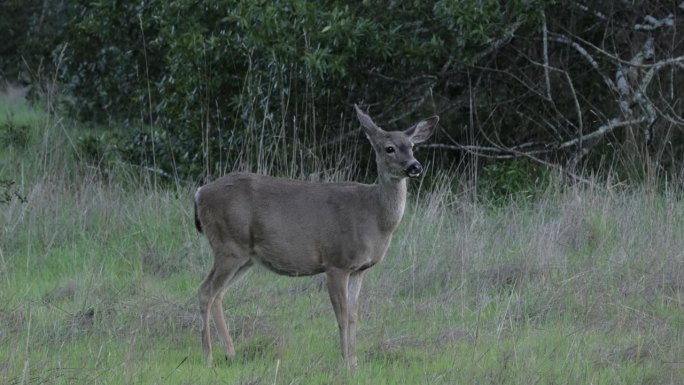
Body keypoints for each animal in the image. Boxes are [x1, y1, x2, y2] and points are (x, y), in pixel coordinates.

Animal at [192, 103, 438, 364]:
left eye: (412, 146)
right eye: (389, 148)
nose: (415, 166)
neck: (374, 215)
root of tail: (199, 193)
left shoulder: (359, 269)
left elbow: (354, 316)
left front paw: (354, 361)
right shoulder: (336, 262)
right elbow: (342, 317)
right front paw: (345, 362)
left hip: (245, 257)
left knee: (218, 294)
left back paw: (230, 352)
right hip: (229, 245)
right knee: (205, 291)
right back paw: (207, 356)